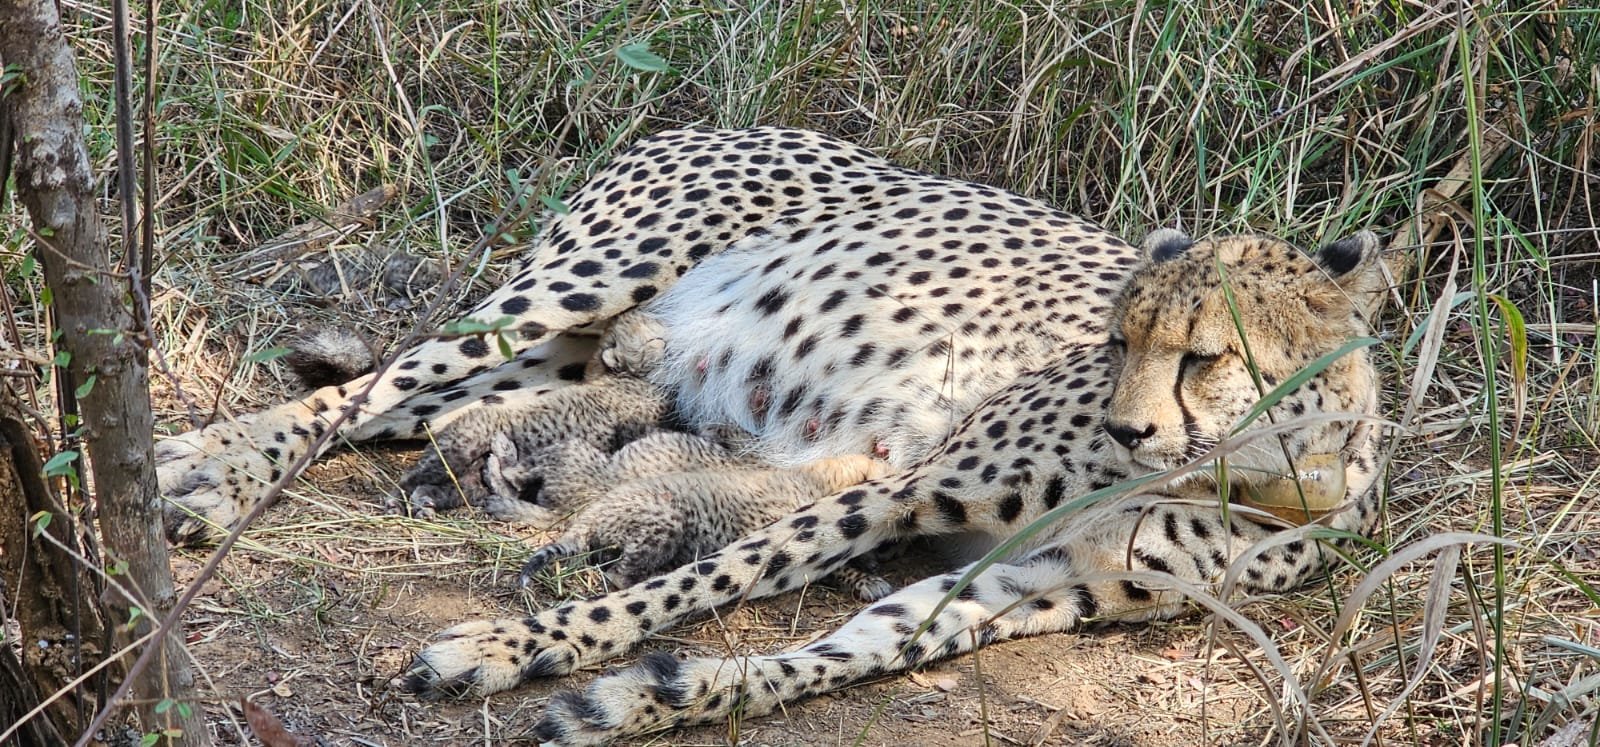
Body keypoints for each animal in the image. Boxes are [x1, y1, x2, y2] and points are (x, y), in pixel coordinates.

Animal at [152, 127, 1391, 745]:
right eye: (1118, 338)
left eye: (1205, 356)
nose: (1130, 425)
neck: (1259, 475)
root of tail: (709, 118)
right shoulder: (903, 488)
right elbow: (710, 578)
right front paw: (515, 646)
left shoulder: (1034, 585)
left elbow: (839, 651)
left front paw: (641, 700)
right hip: (577, 287)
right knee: (369, 387)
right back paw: (204, 472)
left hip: (573, 358)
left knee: (427, 410)